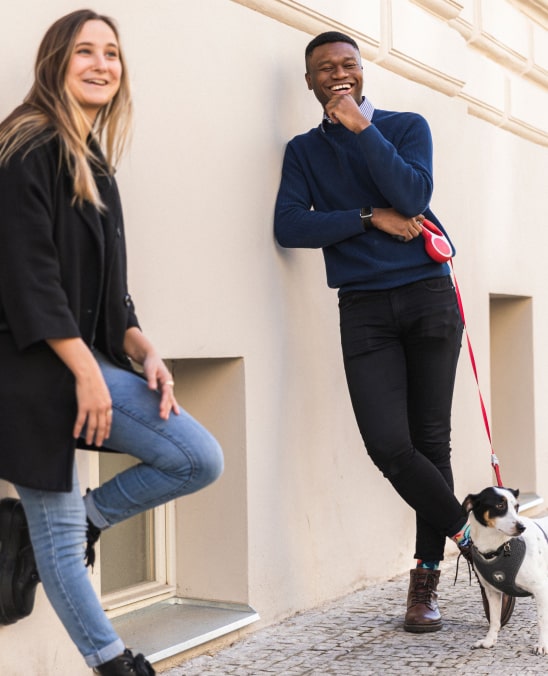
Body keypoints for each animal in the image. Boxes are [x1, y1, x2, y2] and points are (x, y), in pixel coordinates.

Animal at [462, 486, 548, 656]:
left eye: (516, 506)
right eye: (500, 506)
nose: (522, 527)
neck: (499, 548)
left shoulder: (541, 589)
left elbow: (541, 620)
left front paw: (542, 644)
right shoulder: (492, 591)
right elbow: (495, 620)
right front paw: (489, 641)